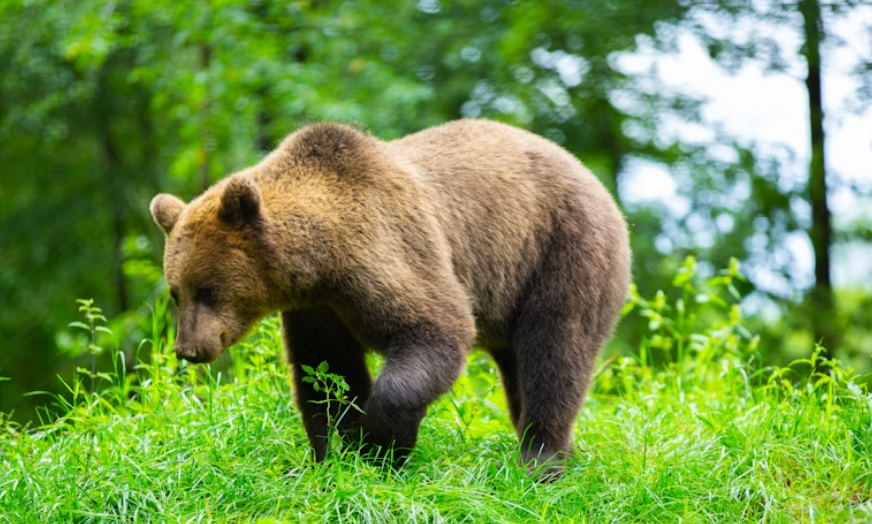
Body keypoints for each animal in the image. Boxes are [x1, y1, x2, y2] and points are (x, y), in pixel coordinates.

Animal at [149, 119, 631, 479]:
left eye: (208, 290)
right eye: (175, 291)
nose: (189, 349)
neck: (321, 261)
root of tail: (591, 176)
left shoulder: (386, 251)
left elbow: (435, 330)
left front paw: (381, 443)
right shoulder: (318, 309)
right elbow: (327, 373)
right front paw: (335, 453)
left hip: (561, 251)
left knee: (555, 352)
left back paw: (541, 458)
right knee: (520, 366)